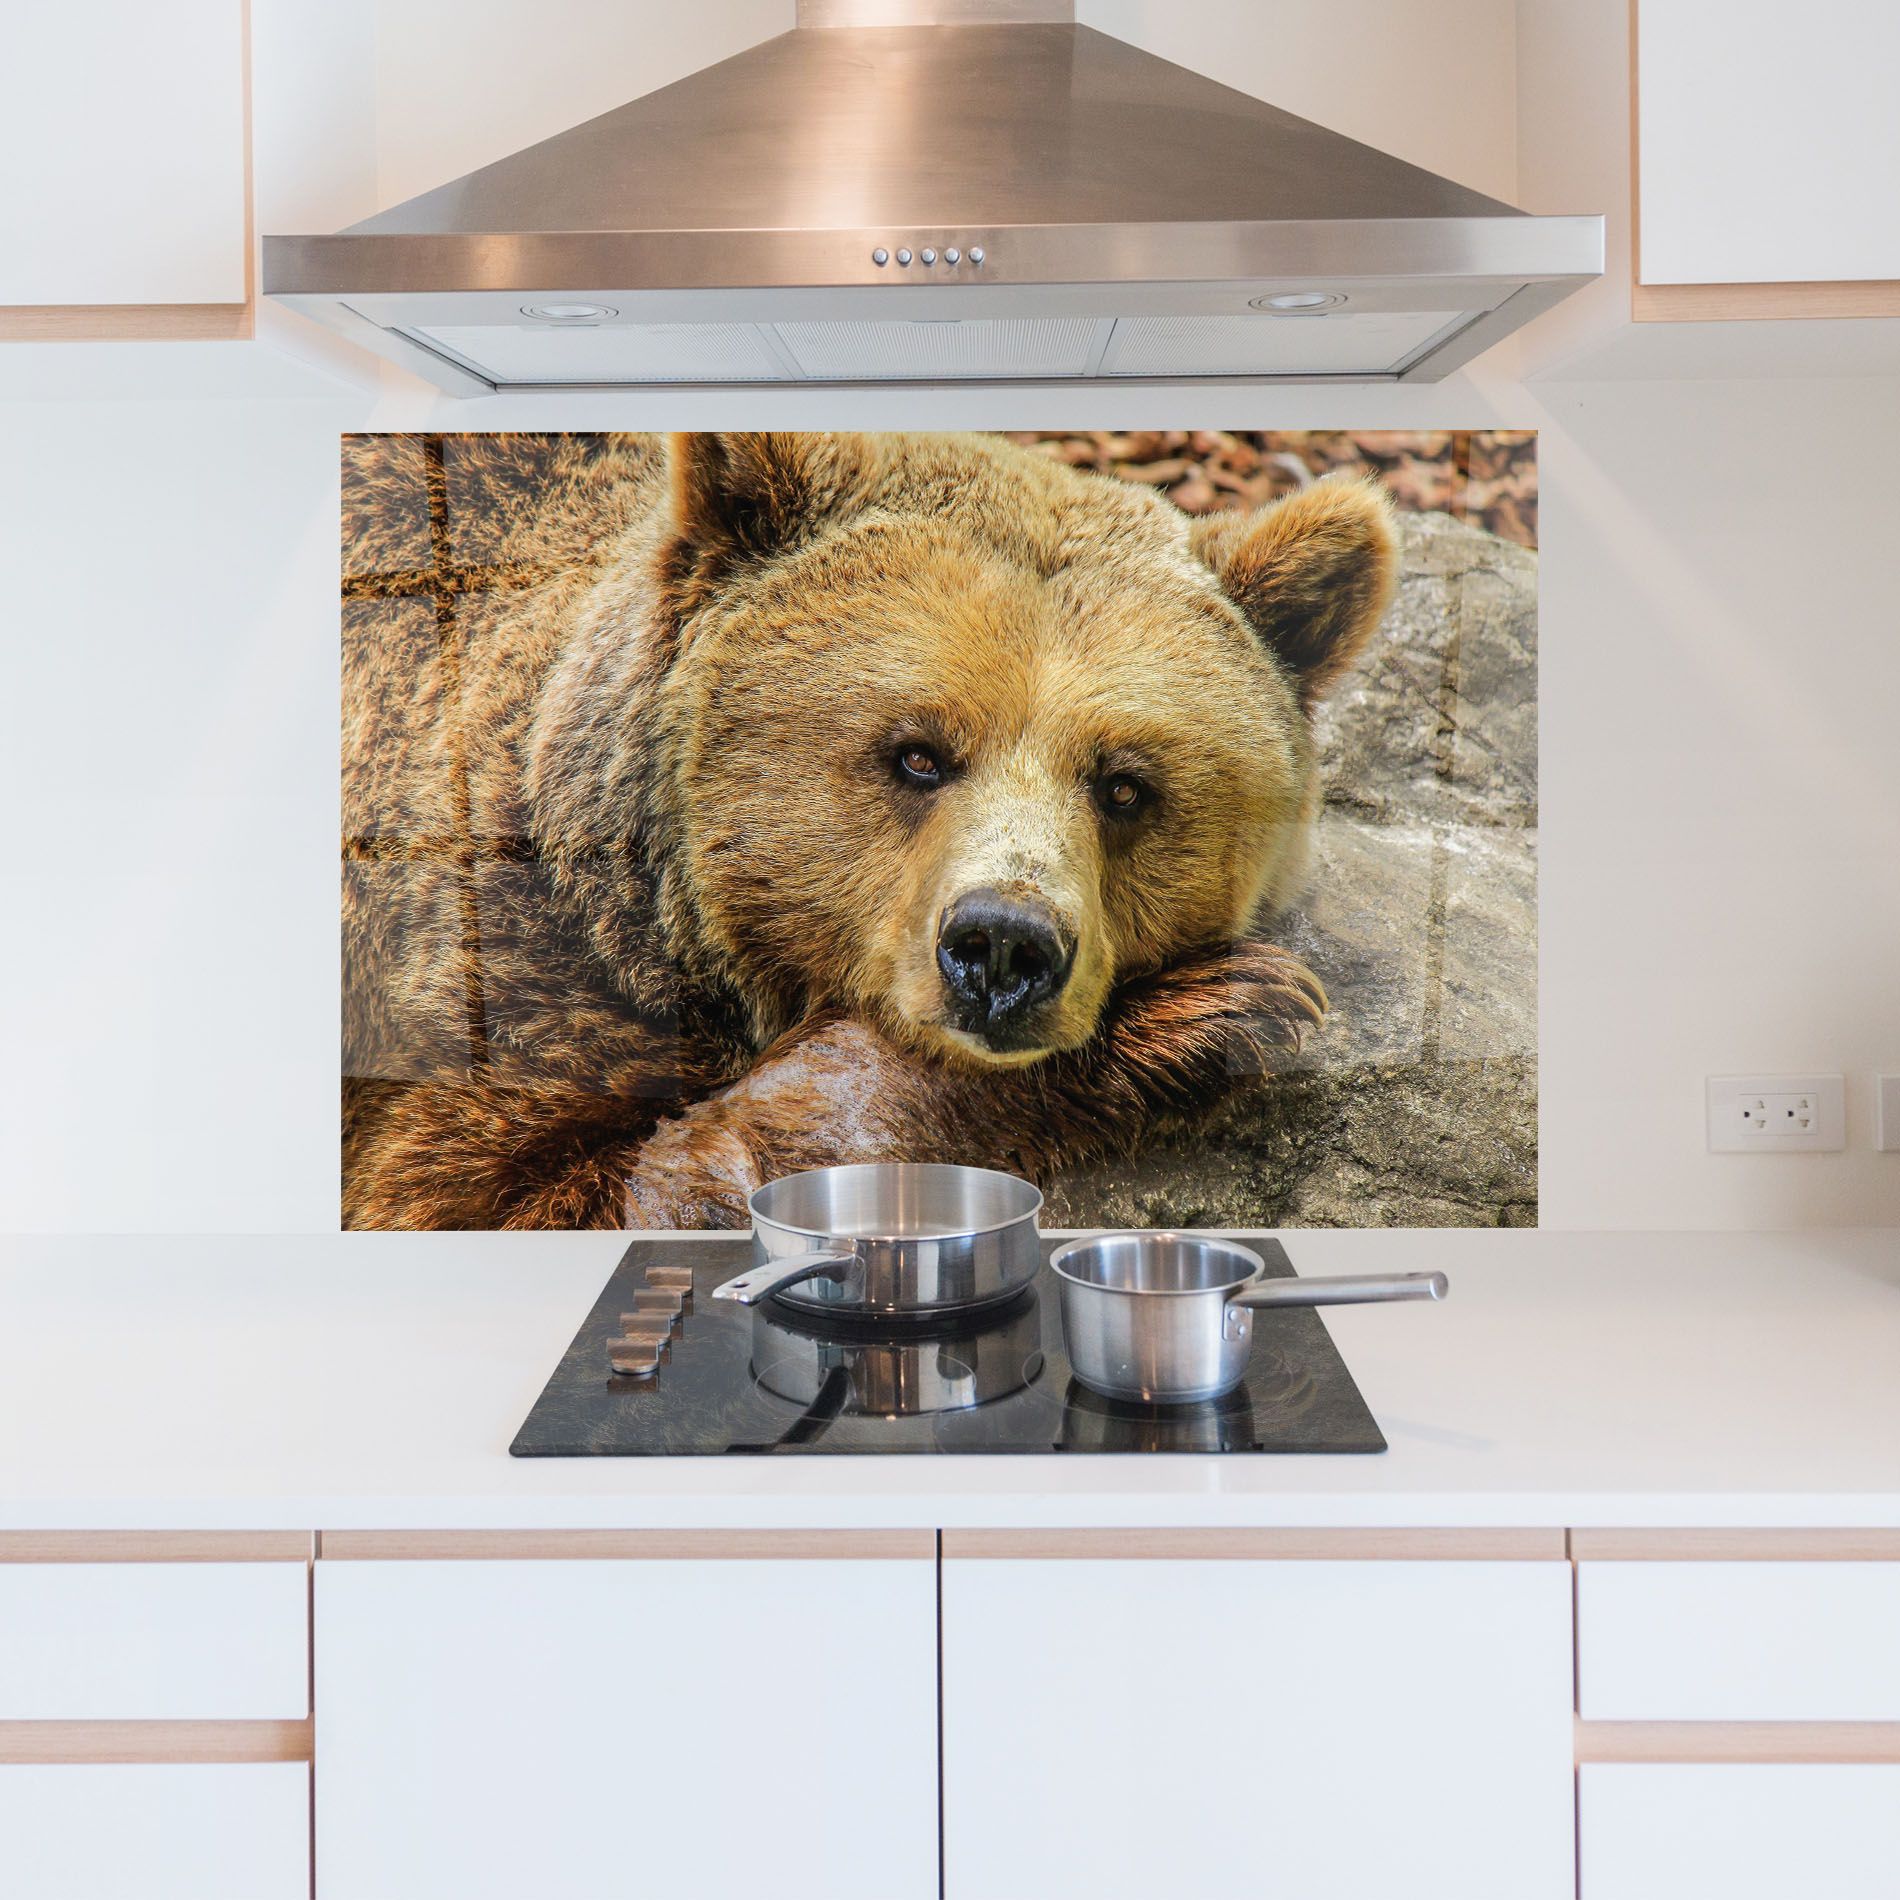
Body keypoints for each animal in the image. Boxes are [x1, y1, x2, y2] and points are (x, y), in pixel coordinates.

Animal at [341, 430, 1396, 1230]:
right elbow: (532, 1199)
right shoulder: (507, 975)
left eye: (1124, 785)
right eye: (918, 754)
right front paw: (1208, 1012)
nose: (1003, 947)